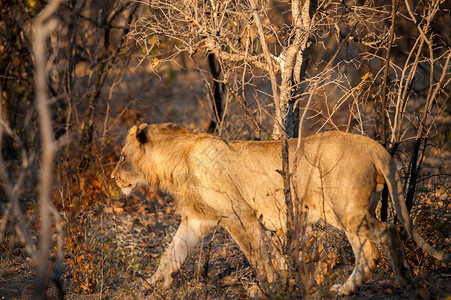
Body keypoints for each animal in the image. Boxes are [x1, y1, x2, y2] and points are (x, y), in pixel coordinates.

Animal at [111, 122, 450, 296]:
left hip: (343, 211)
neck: (175, 161)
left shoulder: (239, 214)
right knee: (382, 238)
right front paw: (150, 285)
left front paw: (269, 286)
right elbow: (171, 253)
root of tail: (375, 146)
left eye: (123, 156)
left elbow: (257, 256)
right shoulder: (197, 219)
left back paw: (359, 287)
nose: (113, 178)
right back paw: (393, 282)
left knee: (378, 240)